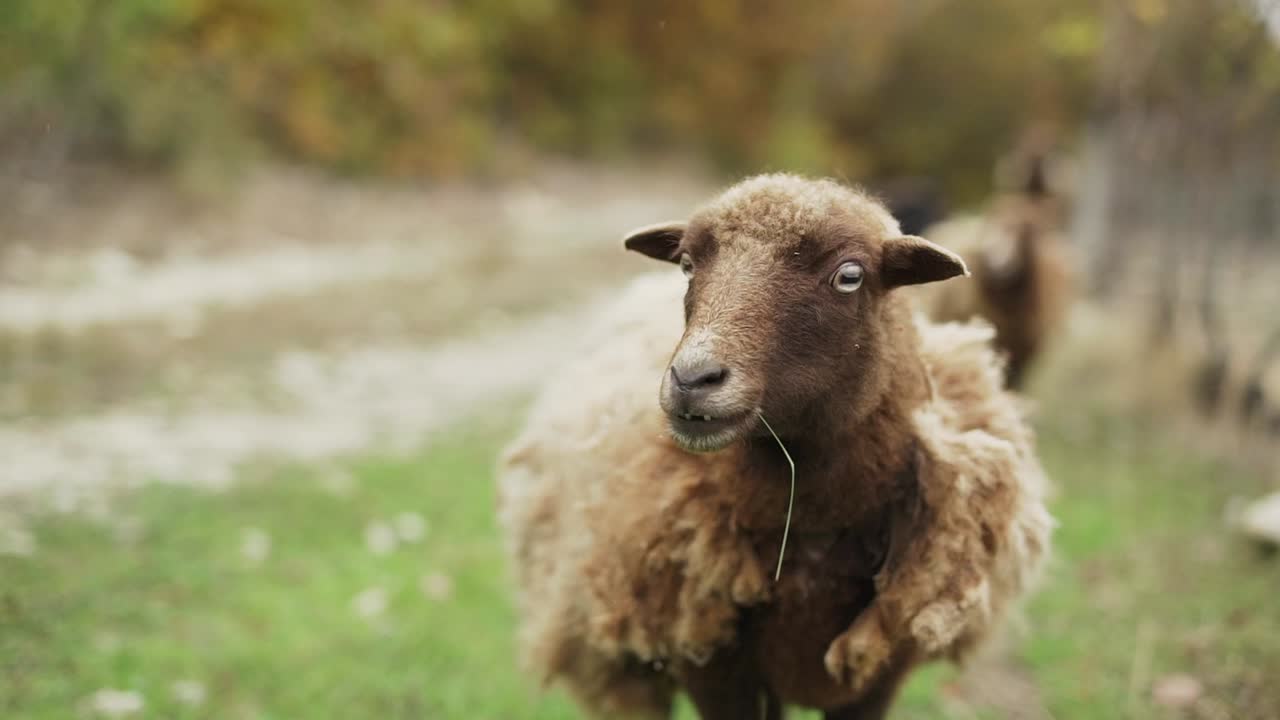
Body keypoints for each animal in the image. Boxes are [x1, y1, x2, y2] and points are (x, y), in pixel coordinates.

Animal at [497, 174, 1054, 720]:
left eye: (849, 276)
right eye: (687, 264)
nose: (692, 379)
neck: (810, 525)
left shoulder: (877, 671)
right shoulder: (712, 663)